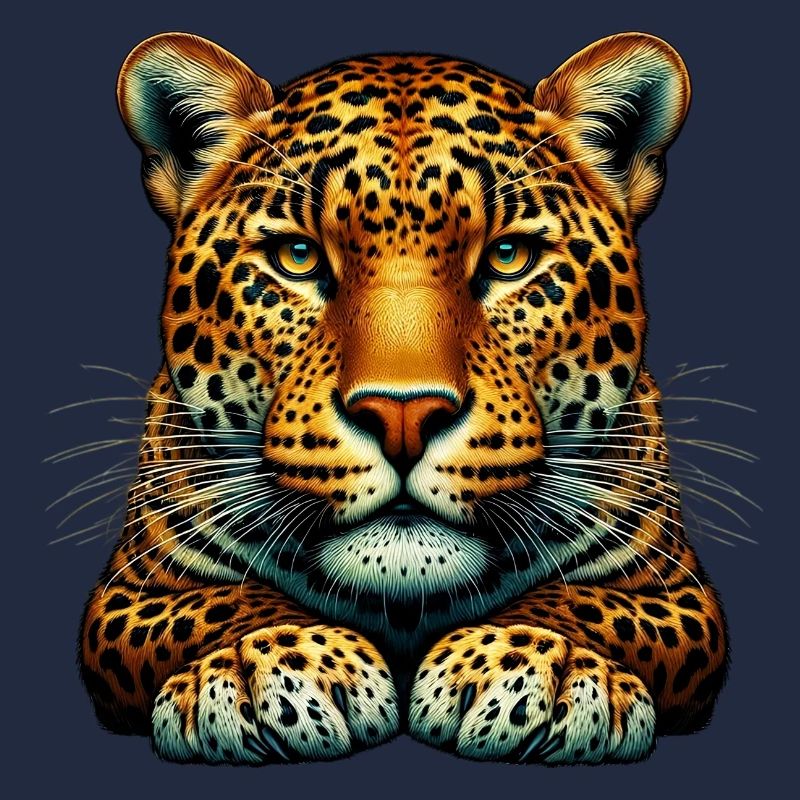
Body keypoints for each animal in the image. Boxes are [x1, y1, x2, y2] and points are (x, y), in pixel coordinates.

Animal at [80, 31, 728, 764]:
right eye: (298, 255)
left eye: (509, 255)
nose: (403, 416)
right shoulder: (129, 592)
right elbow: (221, 603)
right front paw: (272, 666)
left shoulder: (677, 592)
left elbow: (585, 602)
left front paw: (533, 668)